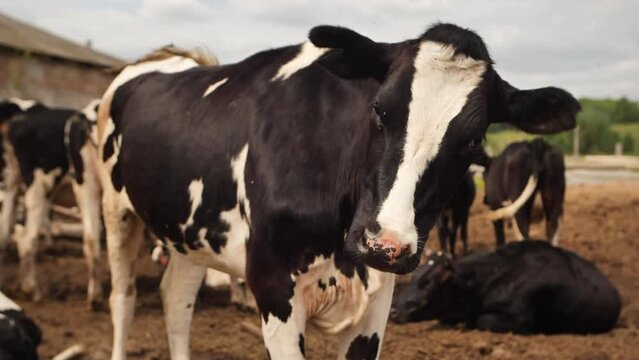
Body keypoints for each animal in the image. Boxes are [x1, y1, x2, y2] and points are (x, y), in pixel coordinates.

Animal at [99, 23, 580, 358]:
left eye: (474, 139)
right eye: (380, 109)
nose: (385, 244)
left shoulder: (377, 299)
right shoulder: (273, 286)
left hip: (188, 233)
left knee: (177, 299)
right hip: (114, 209)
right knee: (123, 298)